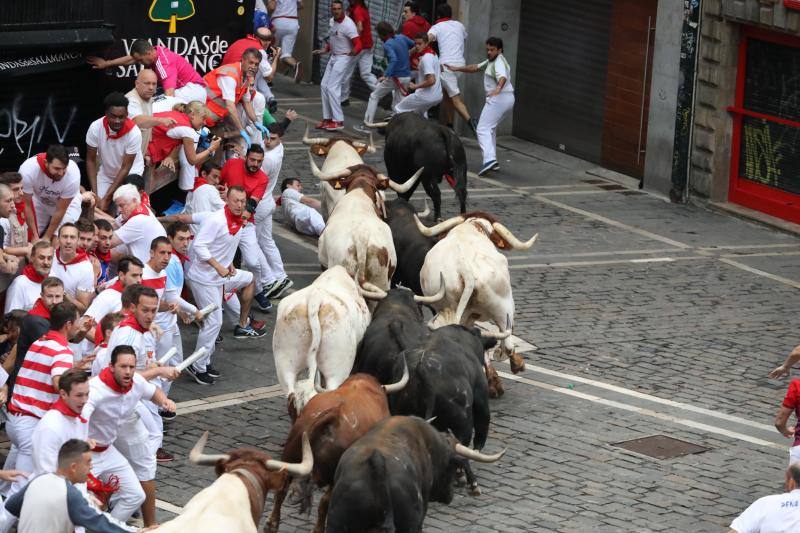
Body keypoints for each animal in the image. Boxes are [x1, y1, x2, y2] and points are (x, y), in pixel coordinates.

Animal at [412, 212, 536, 394]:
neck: (469, 229)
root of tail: (463, 268)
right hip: (504, 306)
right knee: (507, 340)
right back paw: (514, 365)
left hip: (450, 309)